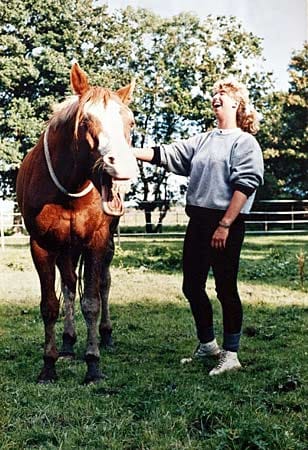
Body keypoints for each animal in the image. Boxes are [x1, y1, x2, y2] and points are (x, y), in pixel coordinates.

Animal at [15, 63, 138, 384]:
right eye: (85, 121)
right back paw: (69, 342)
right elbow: (50, 305)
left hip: (104, 246)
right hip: (65, 249)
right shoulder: (42, 245)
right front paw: (49, 364)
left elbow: (92, 302)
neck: (69, 188)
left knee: (104, 284)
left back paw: (105, 335)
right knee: (70, 286)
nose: (121, 165)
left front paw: (93, 364)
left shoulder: (96, 242)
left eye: (131, 123)